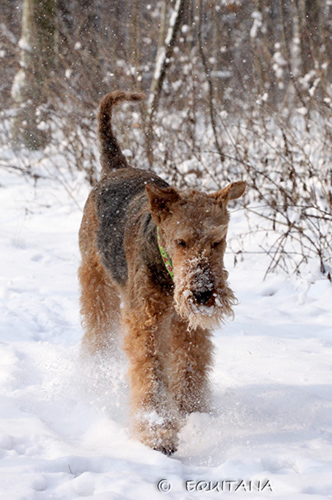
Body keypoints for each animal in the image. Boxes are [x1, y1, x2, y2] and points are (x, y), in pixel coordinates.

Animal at [77, 90, 244, 454]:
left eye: (217, 241)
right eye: (181, 242)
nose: (203, 293)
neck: (170, 275)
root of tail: (118, 167)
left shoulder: (188, 326)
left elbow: (190, 366)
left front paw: (193, 414)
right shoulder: (146, 322)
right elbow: (150, 374)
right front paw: (158, 434)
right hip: (94, 276)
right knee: (97, 323)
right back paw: (94, 366)